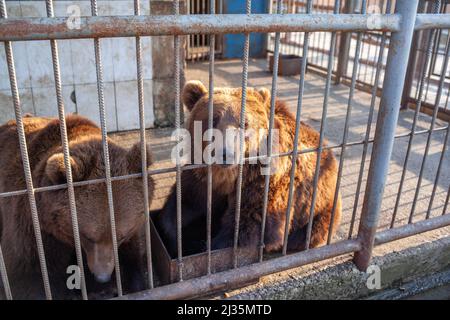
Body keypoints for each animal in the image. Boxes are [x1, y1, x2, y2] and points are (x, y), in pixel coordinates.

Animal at [0, 115, 153, 300]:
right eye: (87, 236)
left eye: (121, 236)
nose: (102, 276)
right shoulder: (32, 224)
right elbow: (27, 275)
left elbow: (132, 255)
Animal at [157, 80, 342, 258]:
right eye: (212, 120)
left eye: (244, 123)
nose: (226, 153)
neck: (226, 177)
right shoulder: (199, 177)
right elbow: (183, 206)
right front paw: (177, 241)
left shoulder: (262, 183)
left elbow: (246, 225)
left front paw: (209, 246)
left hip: (320, 206)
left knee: (311, 231)